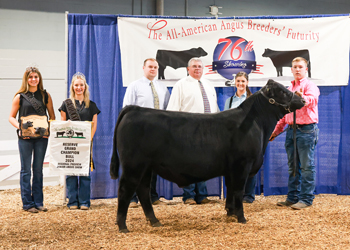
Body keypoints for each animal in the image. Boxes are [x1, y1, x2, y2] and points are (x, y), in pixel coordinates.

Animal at [110, 79, 304, 232]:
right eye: (283, 91)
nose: (302, 99)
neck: (257, 124)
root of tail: (135, 109)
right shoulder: (242, 164)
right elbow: (238, 190)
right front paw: (241, 218)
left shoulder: (231, 169)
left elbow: (231, 190)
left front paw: (230, 214)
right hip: (133, 165)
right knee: (125, 190)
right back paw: (123, 226)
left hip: (146, 167)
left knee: (143, 191)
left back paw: (154, 221)